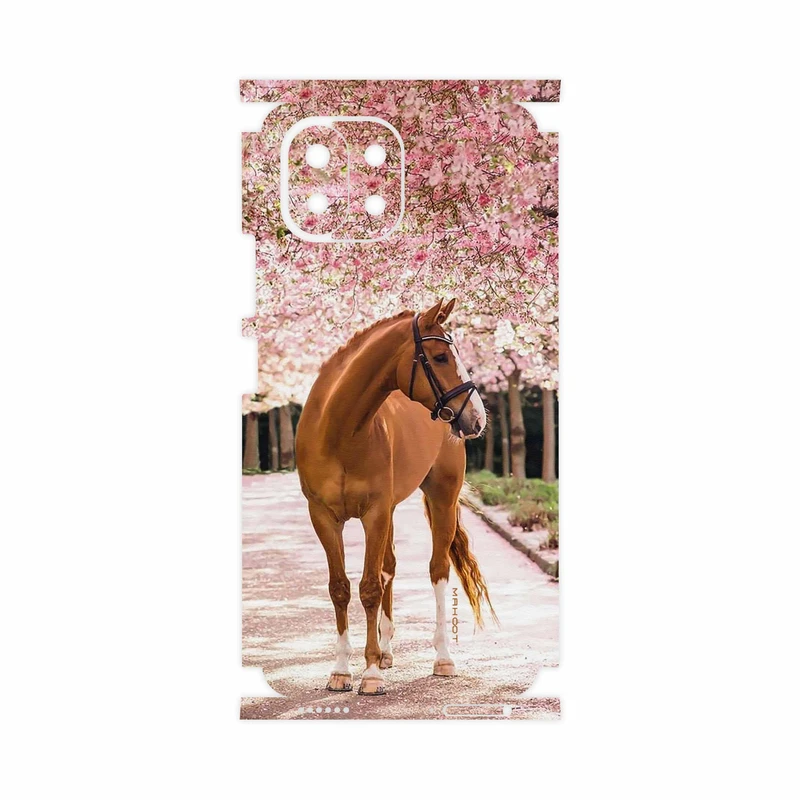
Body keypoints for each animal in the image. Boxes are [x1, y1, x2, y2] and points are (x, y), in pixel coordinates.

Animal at [295, 298, 495, 695]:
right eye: (440, 357)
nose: (477, 418)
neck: (339, 431)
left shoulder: (374, 513)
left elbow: (370, 588)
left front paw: (370, 674)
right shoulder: (324, 517)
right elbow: (340, 588)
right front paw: (341, 671)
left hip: (441, 498)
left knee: (437, 570)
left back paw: (442, 658)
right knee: (389, 567)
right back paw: (386, 651)